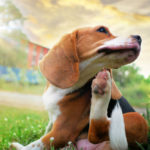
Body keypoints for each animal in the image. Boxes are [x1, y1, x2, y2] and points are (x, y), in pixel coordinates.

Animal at [11, 25, 148, 149]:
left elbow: (33, 145)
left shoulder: (62, 132)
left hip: (138, 119)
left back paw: (102, 89)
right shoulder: (52, 121)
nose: (139, 38)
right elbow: (45, 131)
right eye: (102, 30)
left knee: (96, 133)